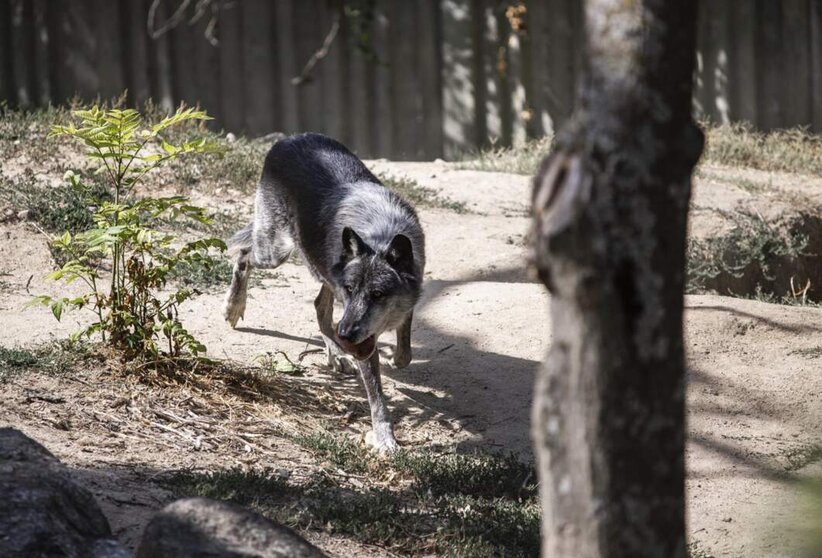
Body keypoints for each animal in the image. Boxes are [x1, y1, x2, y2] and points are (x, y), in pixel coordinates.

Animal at [222, 135, 428, 456]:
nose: (346, 335)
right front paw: (385, 439)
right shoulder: (359, 329)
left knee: (320, 306)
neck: (380, 234)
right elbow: (377, 399)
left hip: (317, 268)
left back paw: (337, 353)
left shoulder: (407, 295)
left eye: (378, 294)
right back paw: (234, 306)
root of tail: (288, 139)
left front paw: (396, 357)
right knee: (244, 254)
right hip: (276, 252)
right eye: (351, 289)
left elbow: (405, 346)